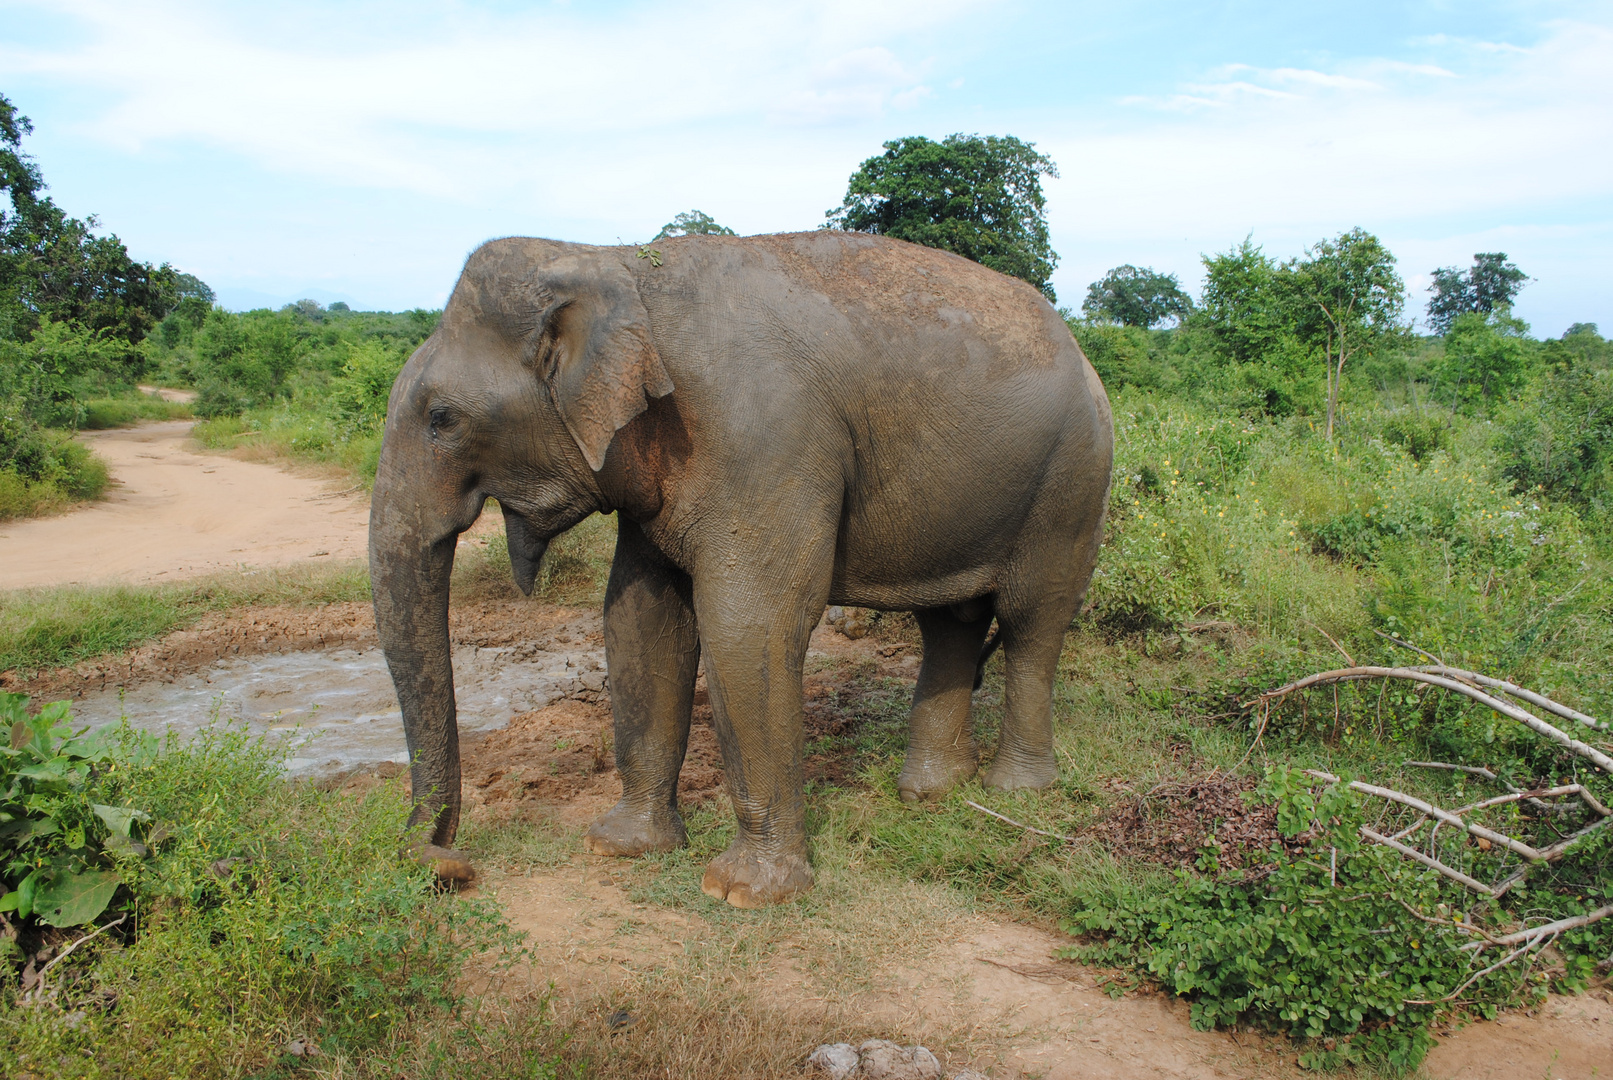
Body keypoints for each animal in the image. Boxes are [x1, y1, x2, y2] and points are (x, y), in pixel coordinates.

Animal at [370, 232, 1116, 909]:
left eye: (442, 419)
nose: (447, 865)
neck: (614, 261)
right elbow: (640, 619)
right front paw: (619, 847)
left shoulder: (762, 436)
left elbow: (747, 624)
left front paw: (743, 894)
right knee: (950, 622)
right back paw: (931, 793)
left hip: (1073, 477)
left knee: (1031, 620)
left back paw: (1014, 791)